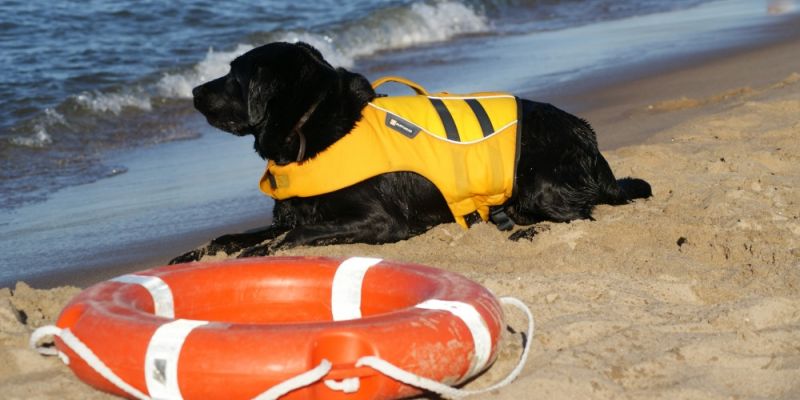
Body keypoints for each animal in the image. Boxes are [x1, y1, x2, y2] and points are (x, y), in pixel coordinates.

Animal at [170, 42, 648, 262]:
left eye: (233, 76)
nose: (192, 92)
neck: (310, 124)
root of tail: (589, 137)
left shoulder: (380, 220)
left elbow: (292, 237)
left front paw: (257, 254)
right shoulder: (290, 213)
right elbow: (230, 237)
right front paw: (194, 255)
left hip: (539, 184)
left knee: (582, 213)